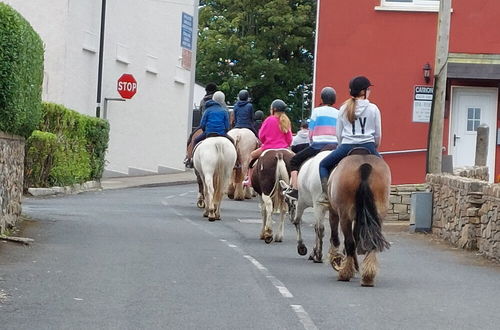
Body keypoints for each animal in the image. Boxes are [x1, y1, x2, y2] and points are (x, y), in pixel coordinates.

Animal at [326, 152, 392, 286]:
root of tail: (365, 166)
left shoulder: (334, 212)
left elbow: (336, 236)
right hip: (378, 214)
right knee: (371, 240)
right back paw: (368, 276)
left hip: (344, 216)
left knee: (349, 242)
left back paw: (345, 273)